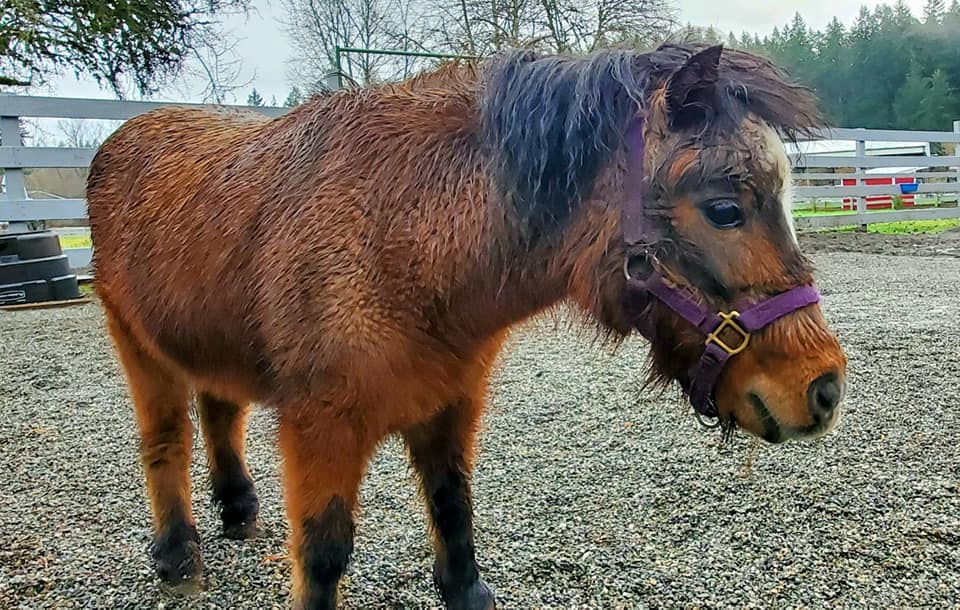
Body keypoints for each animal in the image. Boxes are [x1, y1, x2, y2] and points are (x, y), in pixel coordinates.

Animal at [84, 44, 848, 608]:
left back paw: (237, 508)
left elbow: (453, 510)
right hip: (137, 348)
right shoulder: (321, 426)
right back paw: (178, 554)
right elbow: (324, 555)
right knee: (166, 439)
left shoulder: (450, 403)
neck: (401, 236)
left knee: (219, 408)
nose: (824, 388)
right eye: (726, 209)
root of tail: (122, 136)